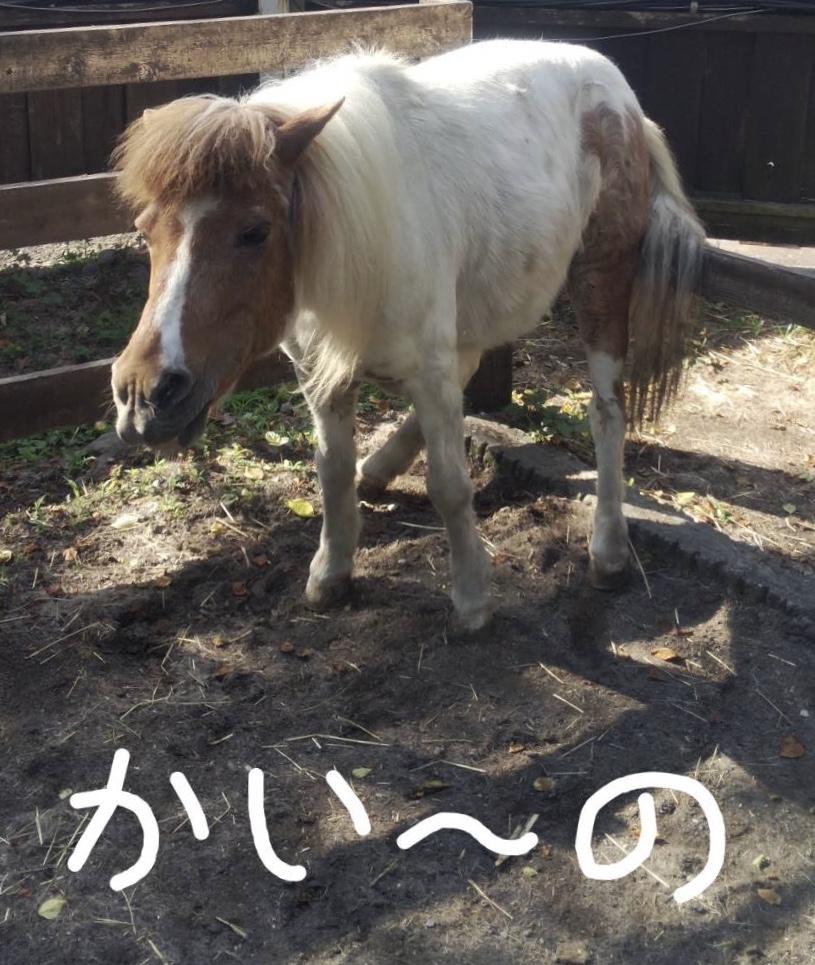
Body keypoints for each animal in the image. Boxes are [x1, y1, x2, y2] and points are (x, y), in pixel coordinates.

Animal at [111, 41, 704, 628]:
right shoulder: (322, 372)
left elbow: (450, 485)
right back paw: (379, 470)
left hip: (600, 282)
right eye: (144, 231)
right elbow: (332, 471)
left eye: (255, 231)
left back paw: (608, 549)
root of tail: (614, 87)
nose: (144, 394)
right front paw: (331, 571)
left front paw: (472, 597)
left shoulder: (428, 368)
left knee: (607, 412)